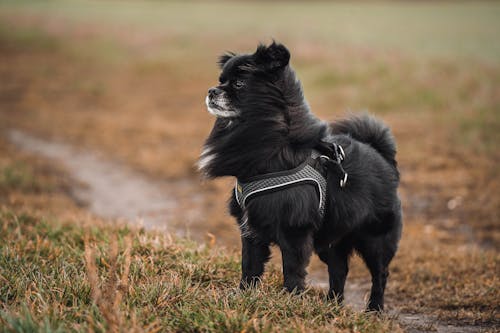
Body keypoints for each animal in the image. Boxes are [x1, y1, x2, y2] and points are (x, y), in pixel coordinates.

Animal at [200, 42, 402, 312]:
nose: (212, 90)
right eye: (220, 80)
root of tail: (383, 157)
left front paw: (289, 301)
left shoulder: (294, 233)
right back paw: (332, 306)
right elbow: (250, 266)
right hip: (331, 239)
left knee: (379, 274)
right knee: (339, 269)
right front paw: (243, 296)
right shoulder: (250, 230)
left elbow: (293, 270)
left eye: (239, 84)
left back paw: (374, 309)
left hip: (374, 239)